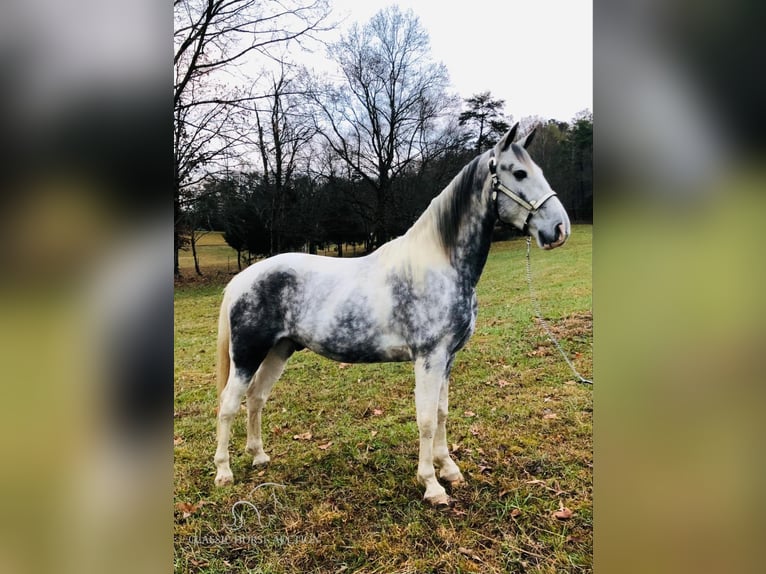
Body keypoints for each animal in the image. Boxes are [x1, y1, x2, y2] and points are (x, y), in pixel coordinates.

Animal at [214, 125, 568, 508]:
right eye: (518, 173)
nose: (559, 229)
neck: (440, 265)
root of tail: (242, 279)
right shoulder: (429, 357)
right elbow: (426, 419)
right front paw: (432, 485)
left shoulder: (447, 358)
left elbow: (442, 413)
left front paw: (450, 470)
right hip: (247, 355)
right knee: (229, 404)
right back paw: (224, 472)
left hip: (279, 350)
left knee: (256, 398)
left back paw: (259, 456)